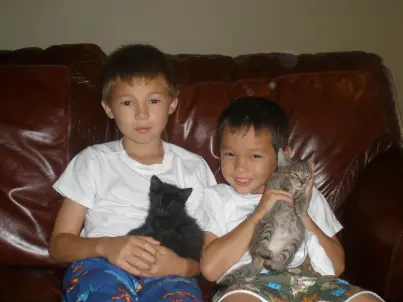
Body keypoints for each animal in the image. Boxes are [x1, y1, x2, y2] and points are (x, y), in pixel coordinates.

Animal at [219, 149, 314, 286]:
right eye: (295, 174)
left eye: (307, 176)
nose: (302, 182)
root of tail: (258, 260)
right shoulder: (272, 182)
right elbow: (282, 180)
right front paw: (287, 183)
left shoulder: (303, 192)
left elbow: (304, 196)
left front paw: (301, 208)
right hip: (268, 223)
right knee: (261, 245)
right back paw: (265, 251)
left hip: (294, 242)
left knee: (282, 259)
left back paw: (274, 264)